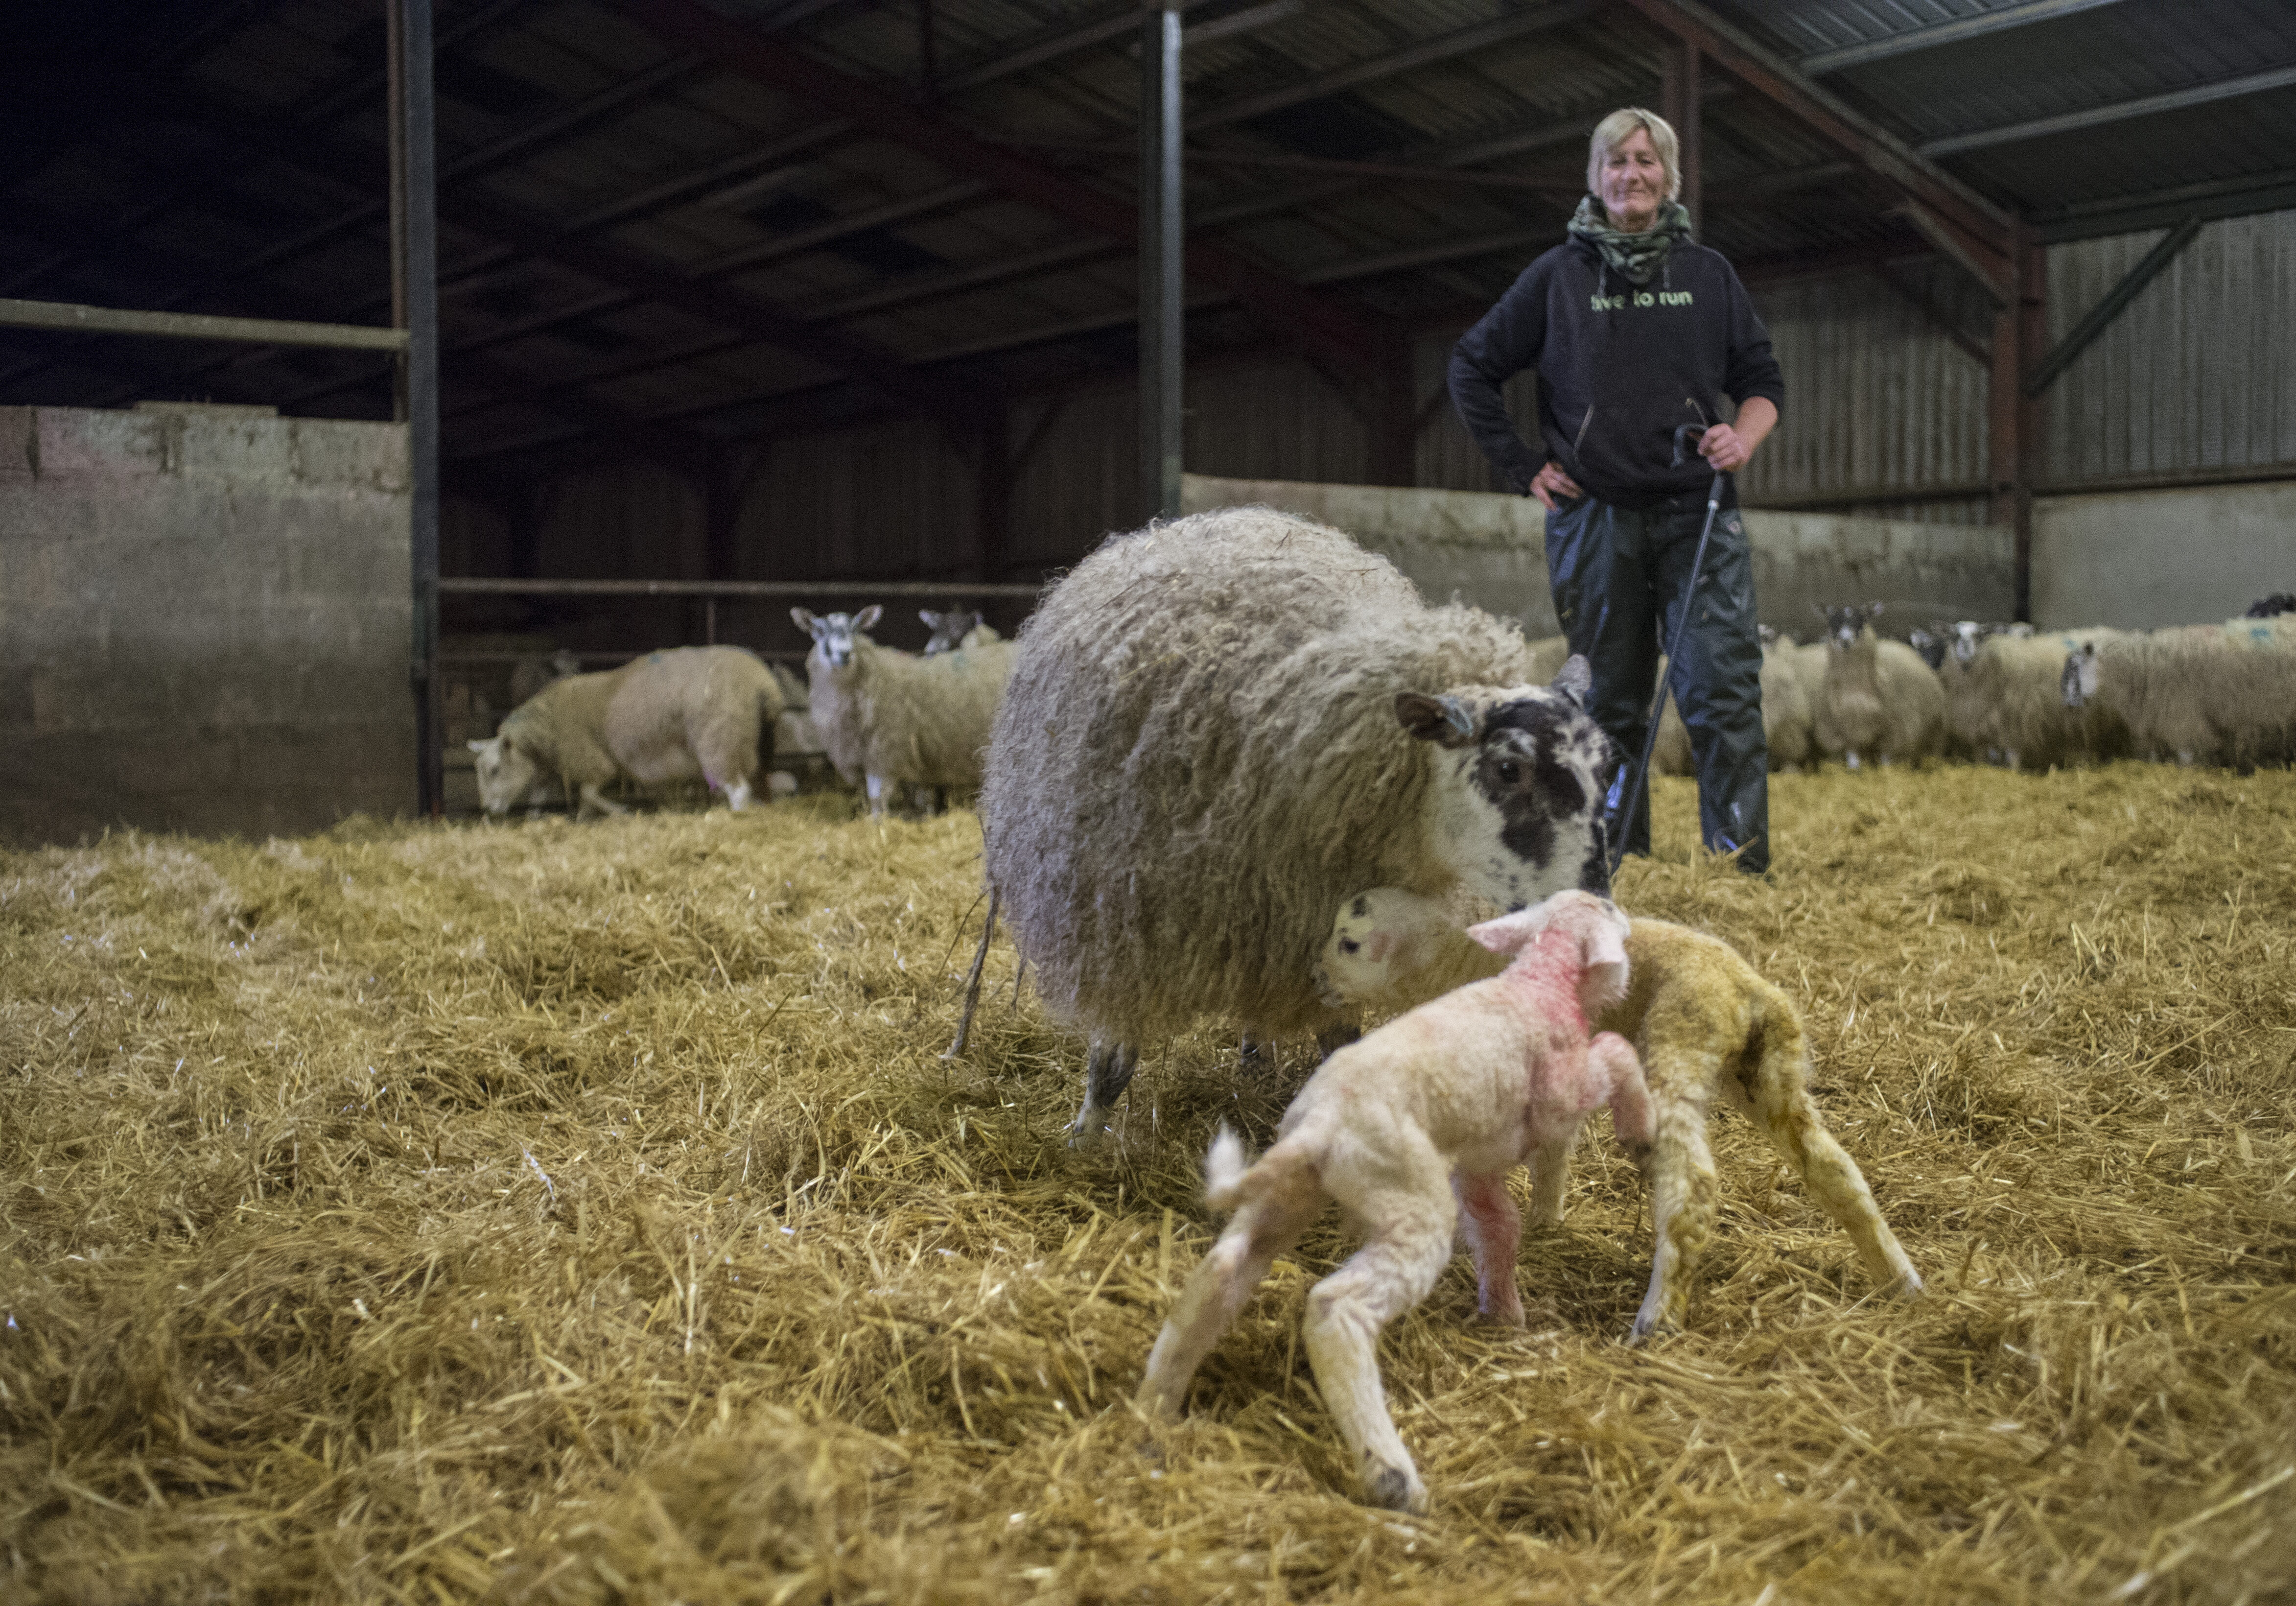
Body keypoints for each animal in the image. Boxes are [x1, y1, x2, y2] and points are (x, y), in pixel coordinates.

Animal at [466, 643, 790, 818]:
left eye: (494, 770)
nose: (487, 809)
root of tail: (763, 685)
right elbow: (576, 799)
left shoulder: (595, 761)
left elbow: (589, 793)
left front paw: (618, 811)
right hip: (757, 745)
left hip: (721, 741)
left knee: (739, 791)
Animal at [799, 606, 1024, 818]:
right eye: (820, 631)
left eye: (856, 629)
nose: (845, 653)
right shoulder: (860, 758)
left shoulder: (885, 754)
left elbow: (877, 800)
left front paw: (879, 826)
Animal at [1134, 891, 1653, 1516]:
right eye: (1606, 910)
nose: (1621, 913)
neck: (1539, 980)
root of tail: (1323, 1122)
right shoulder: (1559, 1093)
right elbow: (1614, 1053)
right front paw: (1641, 1128)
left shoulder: (1477, 1157)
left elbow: (1498, 1225)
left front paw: (1505, 1312)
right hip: (1407, 1200)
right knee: (1336, 1310)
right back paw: (1392, 1477)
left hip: (1291, 1189)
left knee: (1222, 1270)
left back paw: (1153, 1408)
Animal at [1313, 891, 1919, 1342]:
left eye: (1349, 942)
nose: (1316, 981)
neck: (1452, 963)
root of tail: (1747, 990)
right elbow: (1554, 1155)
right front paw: (1546, 1220)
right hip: (1770, 1072)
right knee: (1834, 1170)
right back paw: (1899, 1279)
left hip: (1679, 1041)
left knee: (1693, 1184)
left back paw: (1657, 1319)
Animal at [1809, 611, 1938, 772]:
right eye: (1833, 622)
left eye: (1858, 621)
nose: (1845, 642)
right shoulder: (1846, 728)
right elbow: (1853, 756)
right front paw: (1854, 770)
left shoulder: (1893, 730)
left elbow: (1886, 758)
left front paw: (1886, 772)